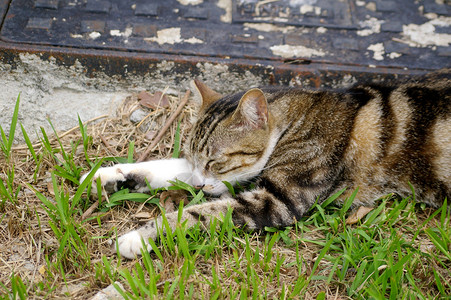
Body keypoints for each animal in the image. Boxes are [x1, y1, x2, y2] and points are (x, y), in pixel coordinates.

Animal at [82, 69, 451, 258]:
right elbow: (169, 169)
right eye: (197, 158)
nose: (201, 184)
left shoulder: (277, 200)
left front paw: (139, 237)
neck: (296, 118)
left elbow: (197, 214)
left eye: (217, 162)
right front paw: (111, 173)